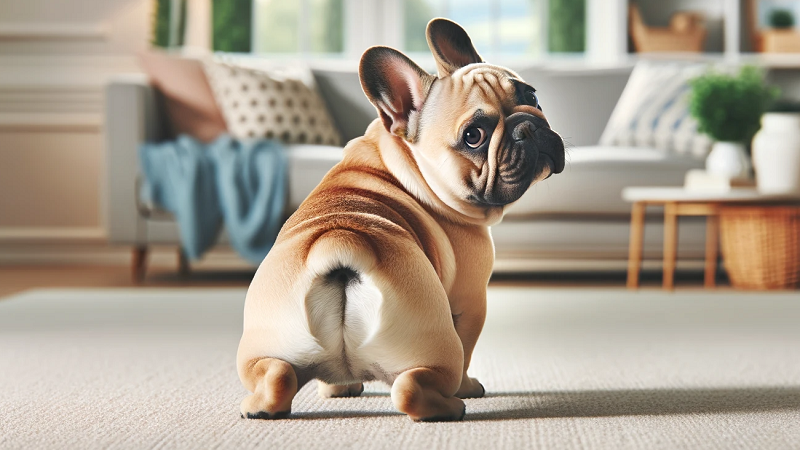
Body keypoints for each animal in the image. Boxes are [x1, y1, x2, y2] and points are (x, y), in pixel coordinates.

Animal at [241, 18, 564, 422]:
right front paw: (469, 387)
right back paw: (451, 404)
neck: (402, 160)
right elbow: (469, 347)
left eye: (532, 97)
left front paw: (339, 388)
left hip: (261, 348)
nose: (527, 126)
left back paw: (257, 407)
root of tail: (339, 240)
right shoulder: (470, 300)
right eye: (474, 136)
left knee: (278, 377)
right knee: (411, 387)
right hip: (438, 345)